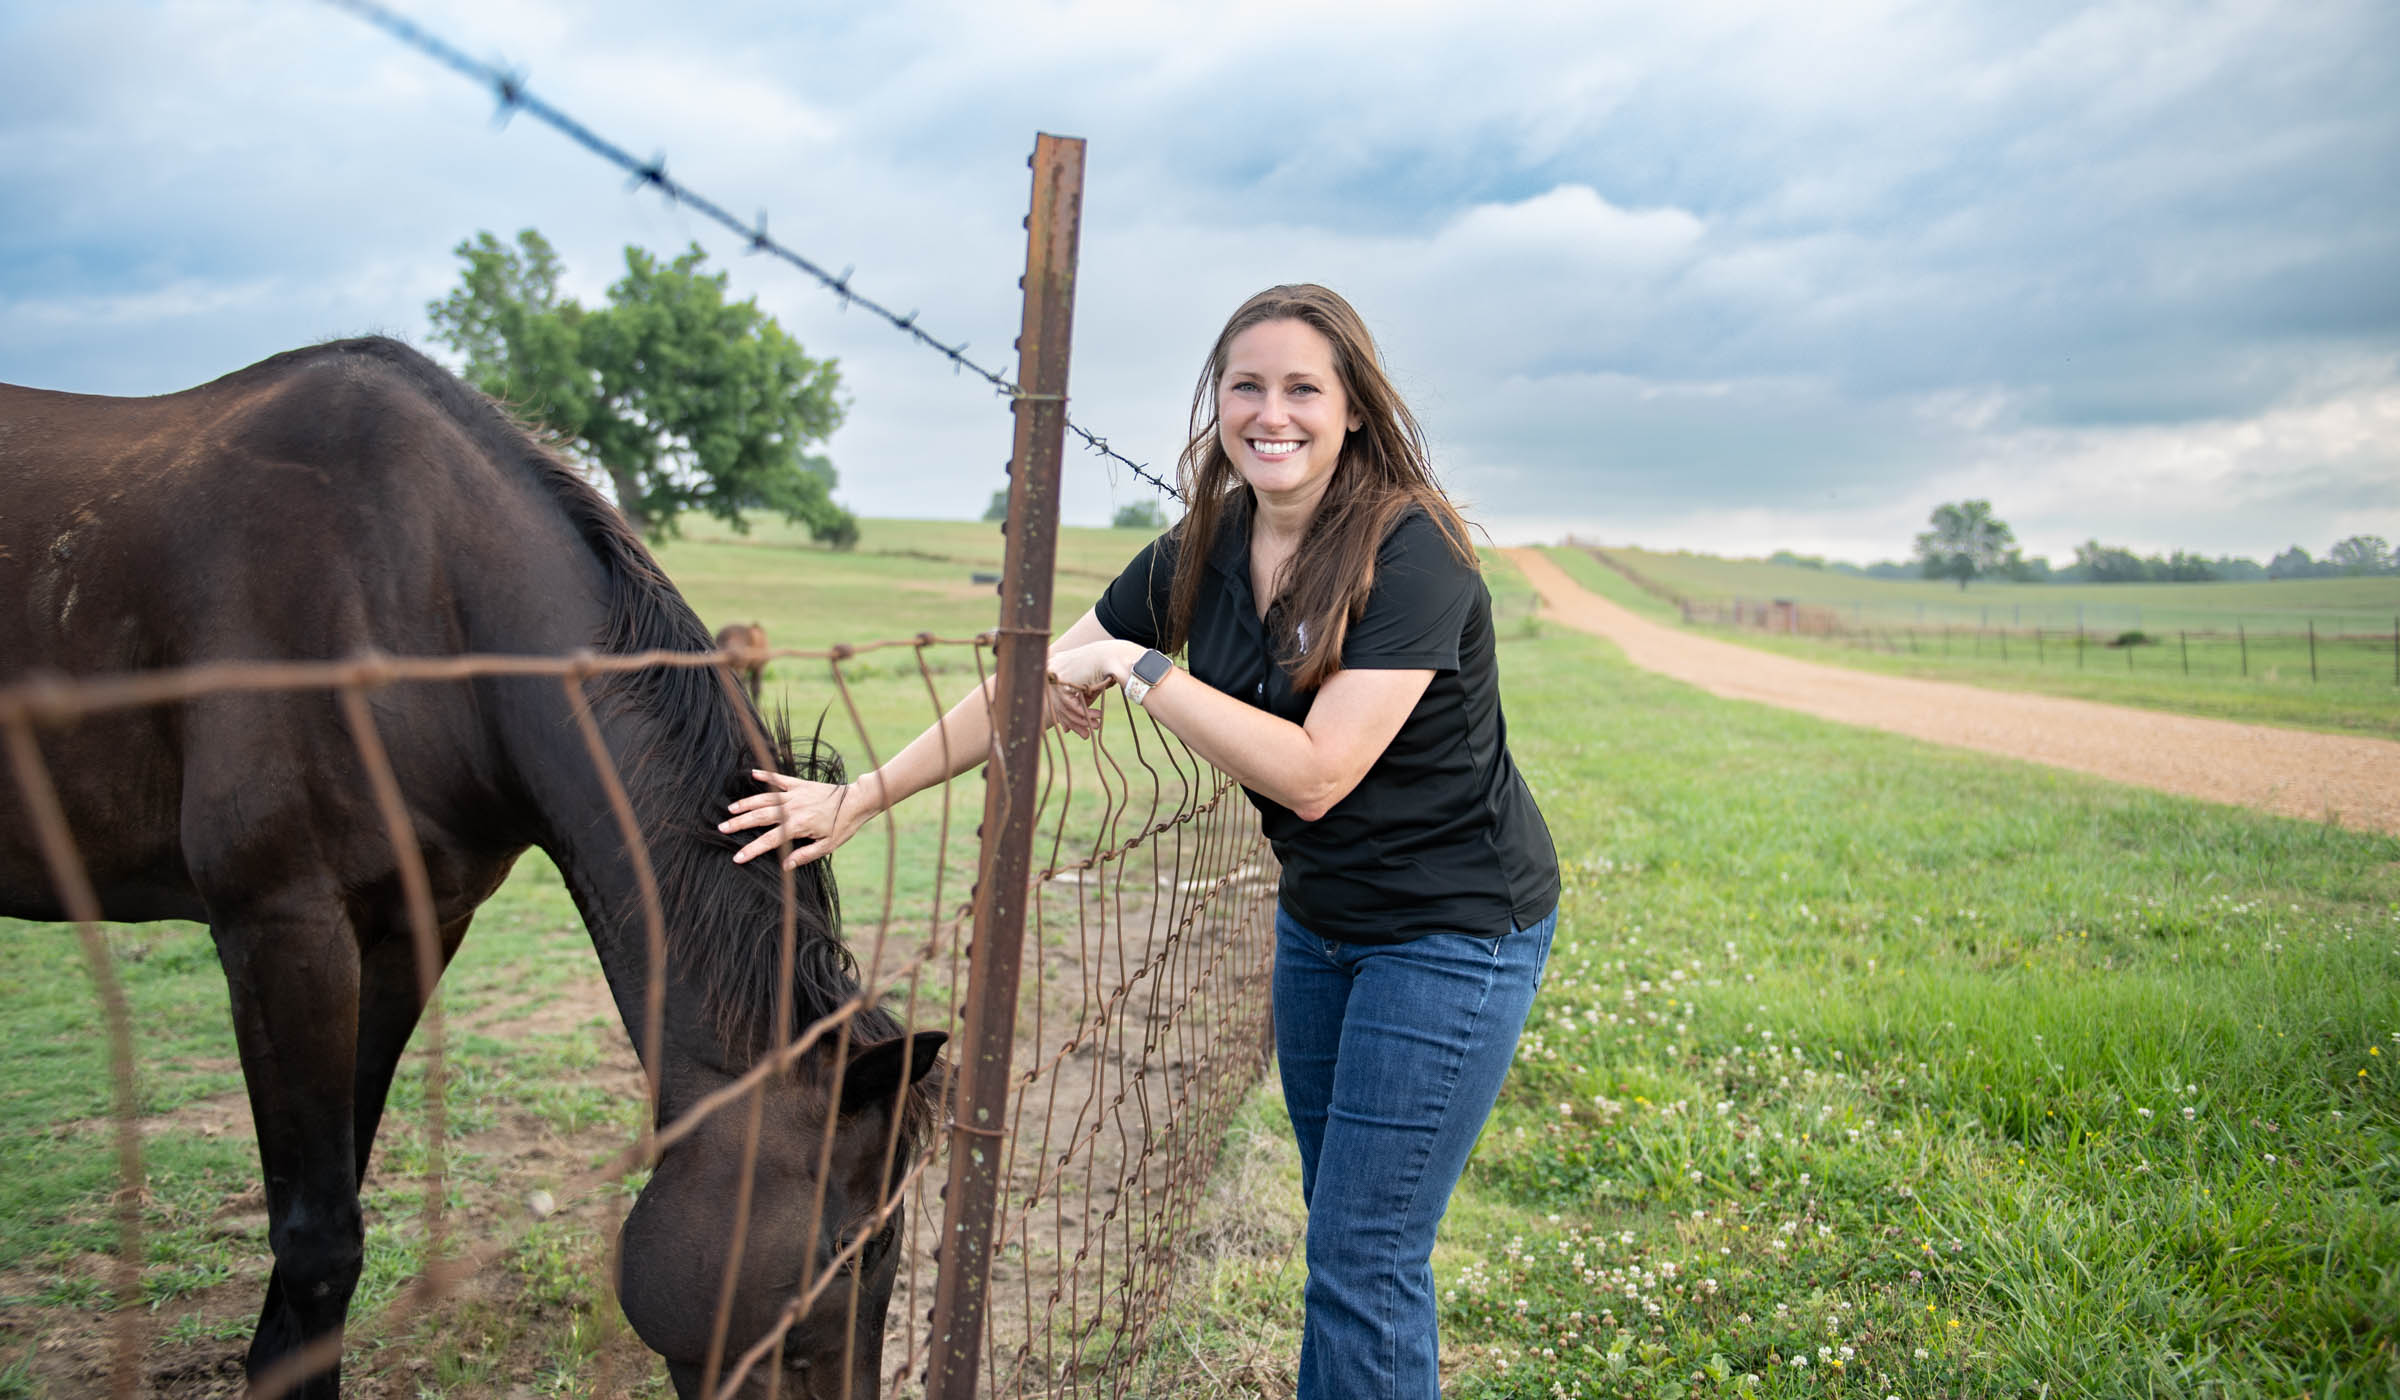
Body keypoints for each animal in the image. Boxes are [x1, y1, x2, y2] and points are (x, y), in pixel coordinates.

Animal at [0, 343, 945, 1400]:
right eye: (859, 1247)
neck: (418, 609)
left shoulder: (417, 927)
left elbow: (339, 1188)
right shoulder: (281, 927)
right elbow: (317, 1239)